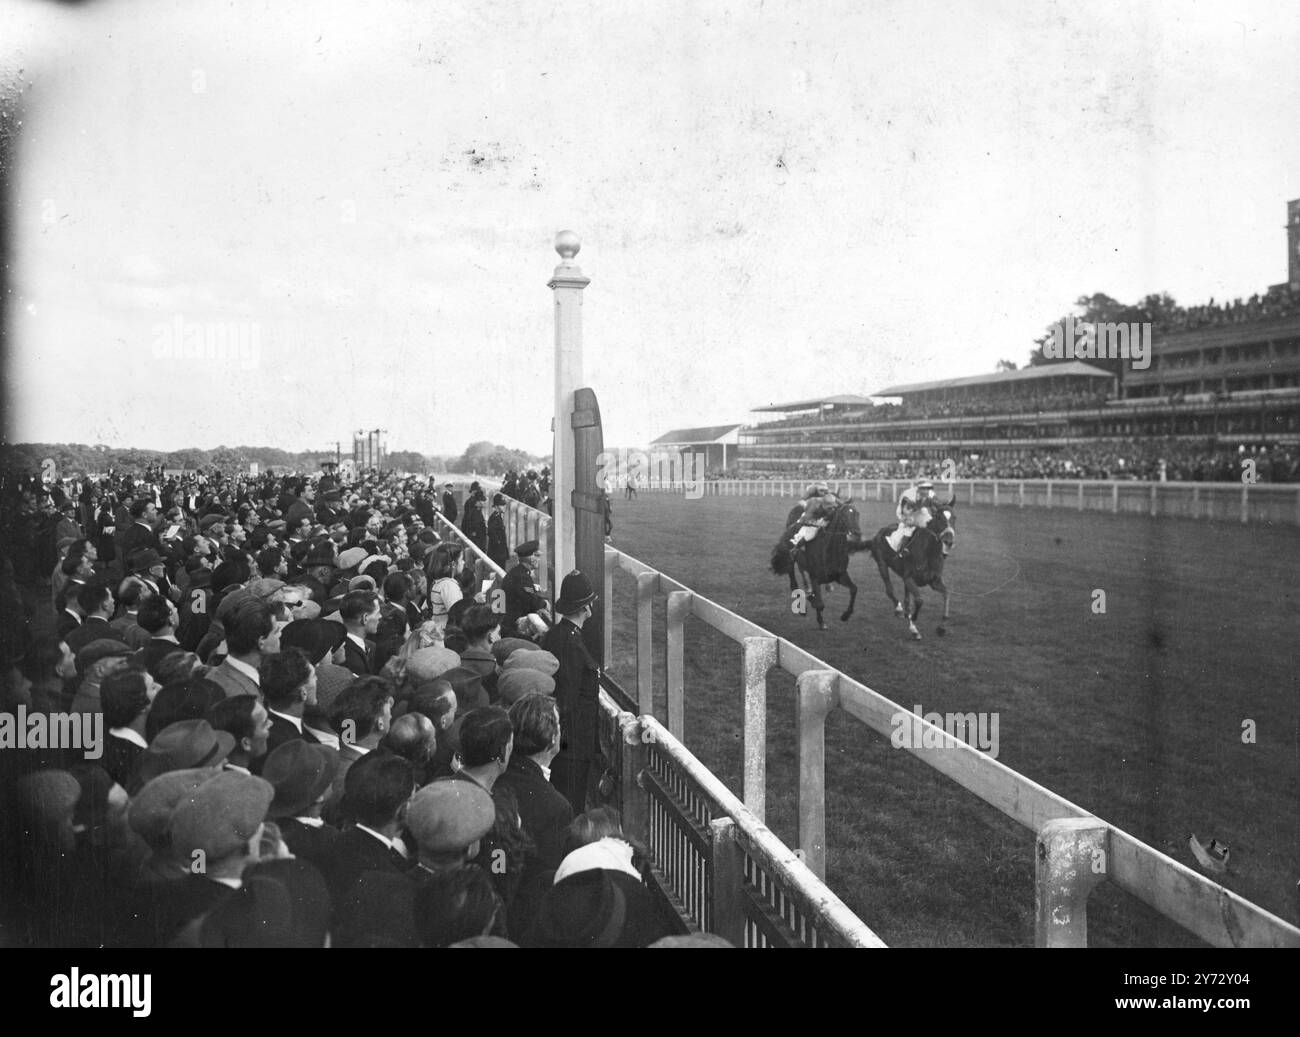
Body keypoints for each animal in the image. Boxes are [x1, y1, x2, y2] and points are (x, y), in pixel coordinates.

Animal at [769, 499, 863, 628]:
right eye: (844, 515)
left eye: (857, 514)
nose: (856, 534)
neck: (829, 551)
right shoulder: (815, 577)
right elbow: (819, 604)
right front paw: (820, 620)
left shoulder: (840, 575)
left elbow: (854, 589)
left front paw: (845, 615)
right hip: (789, 559)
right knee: (793, 583)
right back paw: (802, 606)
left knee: (801, 570)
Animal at [857, 506, 961, 641]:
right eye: (938, 517)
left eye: (954, 517)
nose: (949, 541)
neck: (929, 553)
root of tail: (876, 536)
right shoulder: (908, 578)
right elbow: (919, 600)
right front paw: (914, 622)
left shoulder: (934, 581)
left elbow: (947, 594)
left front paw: (942, 628)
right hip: (882, 565)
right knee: (890, 591)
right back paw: (900, 610)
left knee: (906, 600)